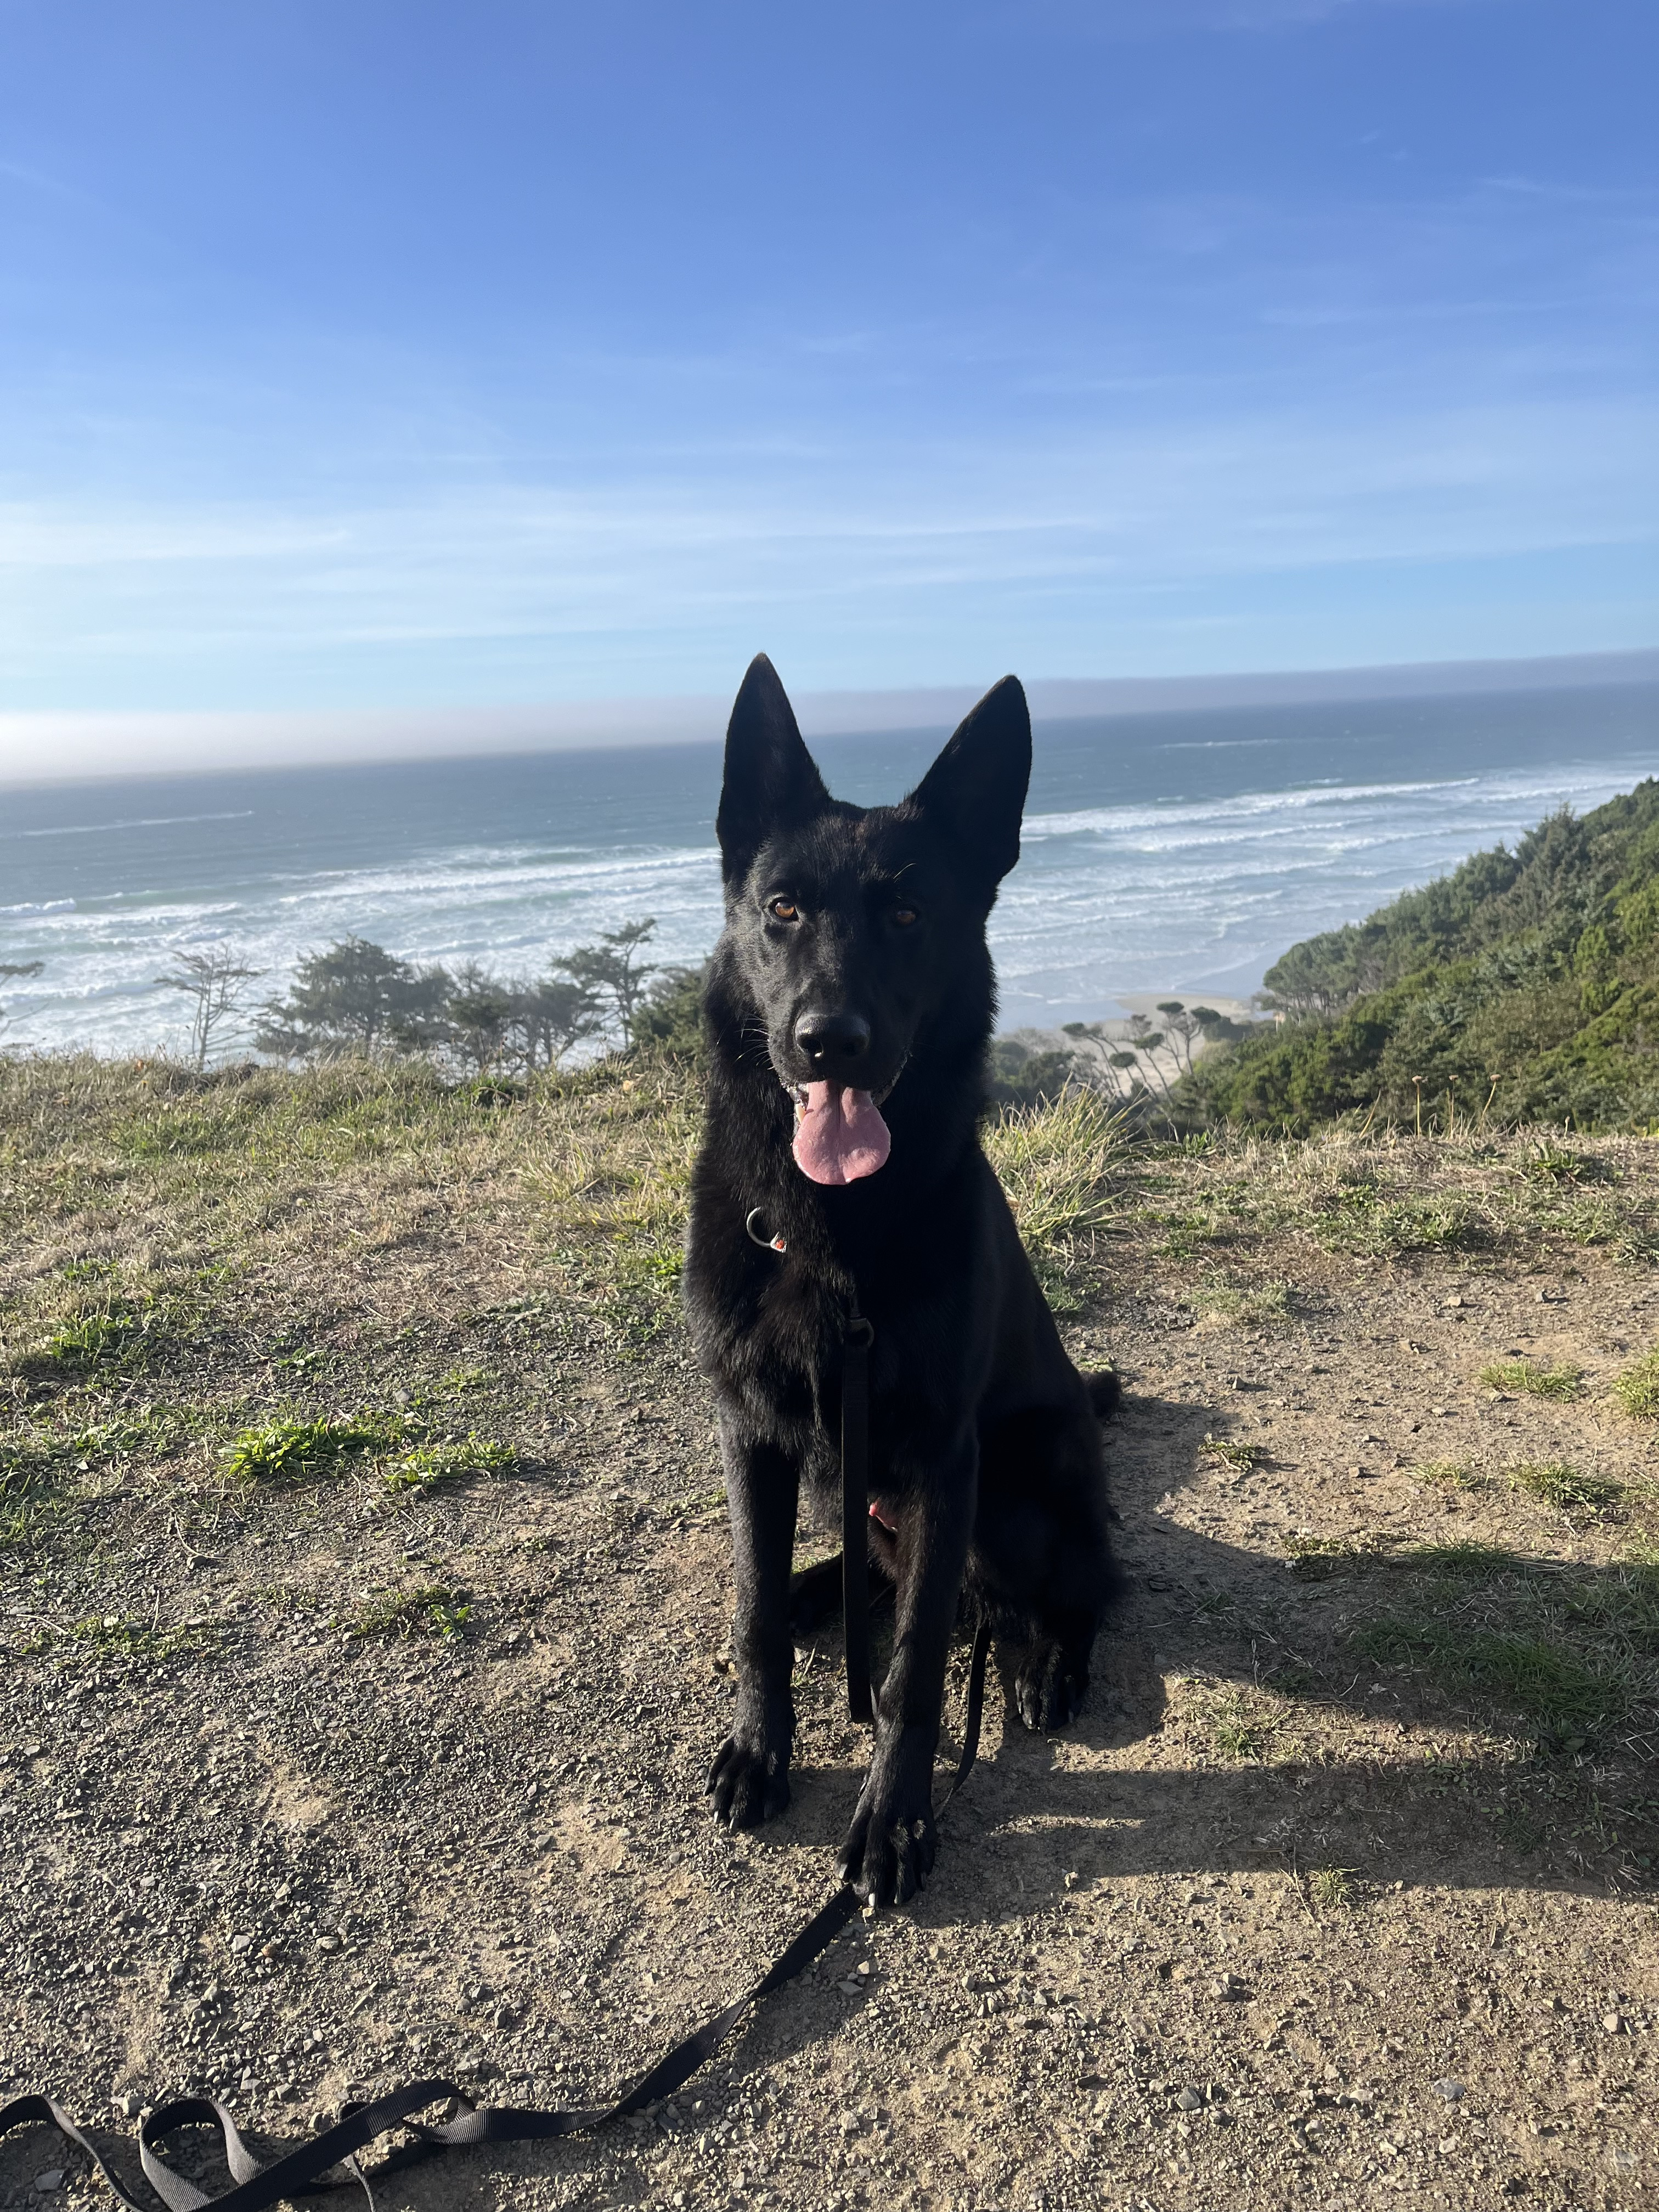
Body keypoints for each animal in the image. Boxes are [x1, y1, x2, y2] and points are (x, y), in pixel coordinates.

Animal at [681, 650, 1124, 1902]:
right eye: (782, 909)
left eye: (910, 913)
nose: (831, 1040)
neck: (835, 1227)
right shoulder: (752, 1432)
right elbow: (750, 1612)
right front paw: (760, 1747)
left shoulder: (942, 1461)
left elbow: (915, 1665)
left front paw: (893, 1817)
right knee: (843, 1582)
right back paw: (821, 1593)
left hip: (1023, 1486)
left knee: (1078, 1584)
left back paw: (1046, 1661)